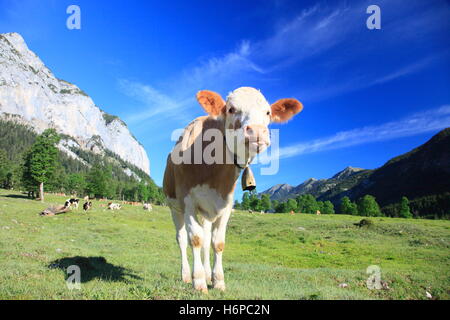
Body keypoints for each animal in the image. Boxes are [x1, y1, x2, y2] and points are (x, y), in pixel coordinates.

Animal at [162, 85, 302, 292]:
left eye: (268, 112)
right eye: (231, 109)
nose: (257, 131)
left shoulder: (225, 205)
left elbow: (217, 243)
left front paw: (218, 280)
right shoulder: (188, 202)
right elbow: (195, 239)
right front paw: (199, 281)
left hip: (206, 212)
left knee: (206, 240)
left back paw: (207, 272)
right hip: (174, 207)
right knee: (182, 238)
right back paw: (187, 275)